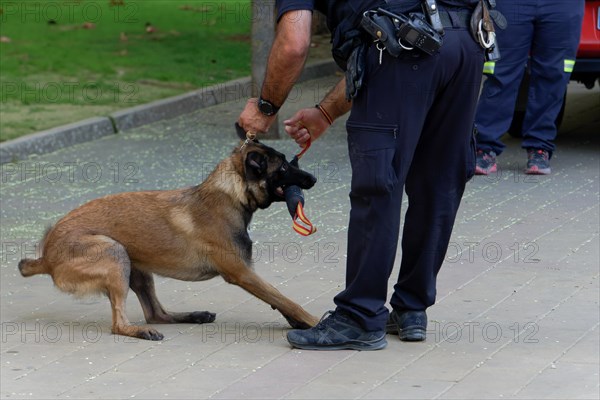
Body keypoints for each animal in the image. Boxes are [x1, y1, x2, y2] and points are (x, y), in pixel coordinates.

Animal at [17, 141, 318, 340]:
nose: (314, 178)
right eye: (284, 166)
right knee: (120, 323)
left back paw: (192, 316)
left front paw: (298, 321)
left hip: (136, 269)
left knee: (156, 313)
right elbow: (284, 298)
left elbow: (278, 299)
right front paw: (313, 321)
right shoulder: (242, 273)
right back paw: (138, 331)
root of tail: (46, 257)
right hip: (114, 253)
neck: (230, 194)